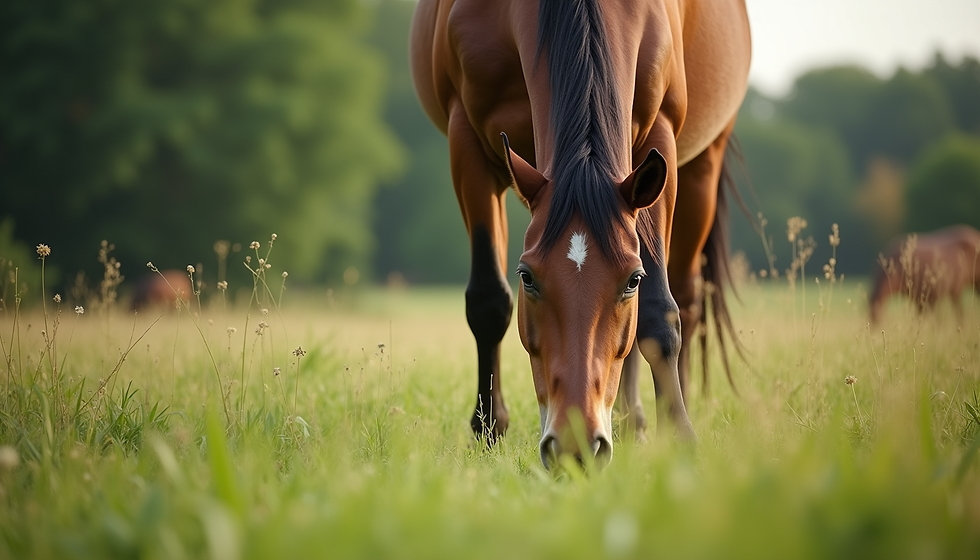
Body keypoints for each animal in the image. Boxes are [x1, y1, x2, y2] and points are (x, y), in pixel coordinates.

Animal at [411, 0, 750, 468]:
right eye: (527, 277)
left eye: (633, 280)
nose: (575, 448)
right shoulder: (468, 143)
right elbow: (487, 301)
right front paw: (488, 431)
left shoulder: (660, 134)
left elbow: (660, 312)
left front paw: (679, 438)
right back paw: (629, 423)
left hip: (702, 165)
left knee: (686, 296)